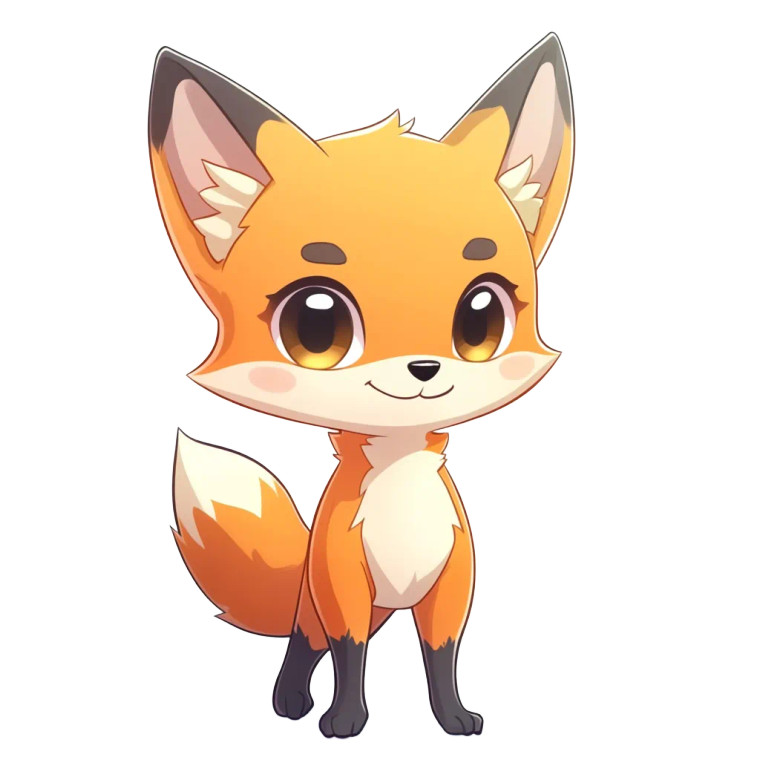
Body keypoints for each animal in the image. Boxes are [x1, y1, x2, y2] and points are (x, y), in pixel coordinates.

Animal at [149, 32, 574, 738]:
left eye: (480, 316)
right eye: (316, 326)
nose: (424, 369)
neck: (399, 478)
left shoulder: (450, 587)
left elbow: (441, 659)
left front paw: (453, 719)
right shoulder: (345, 588)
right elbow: (349, 660)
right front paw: (345, 721)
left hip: (378, 610)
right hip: (326, 603)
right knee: (306, 643)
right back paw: (290, 704)